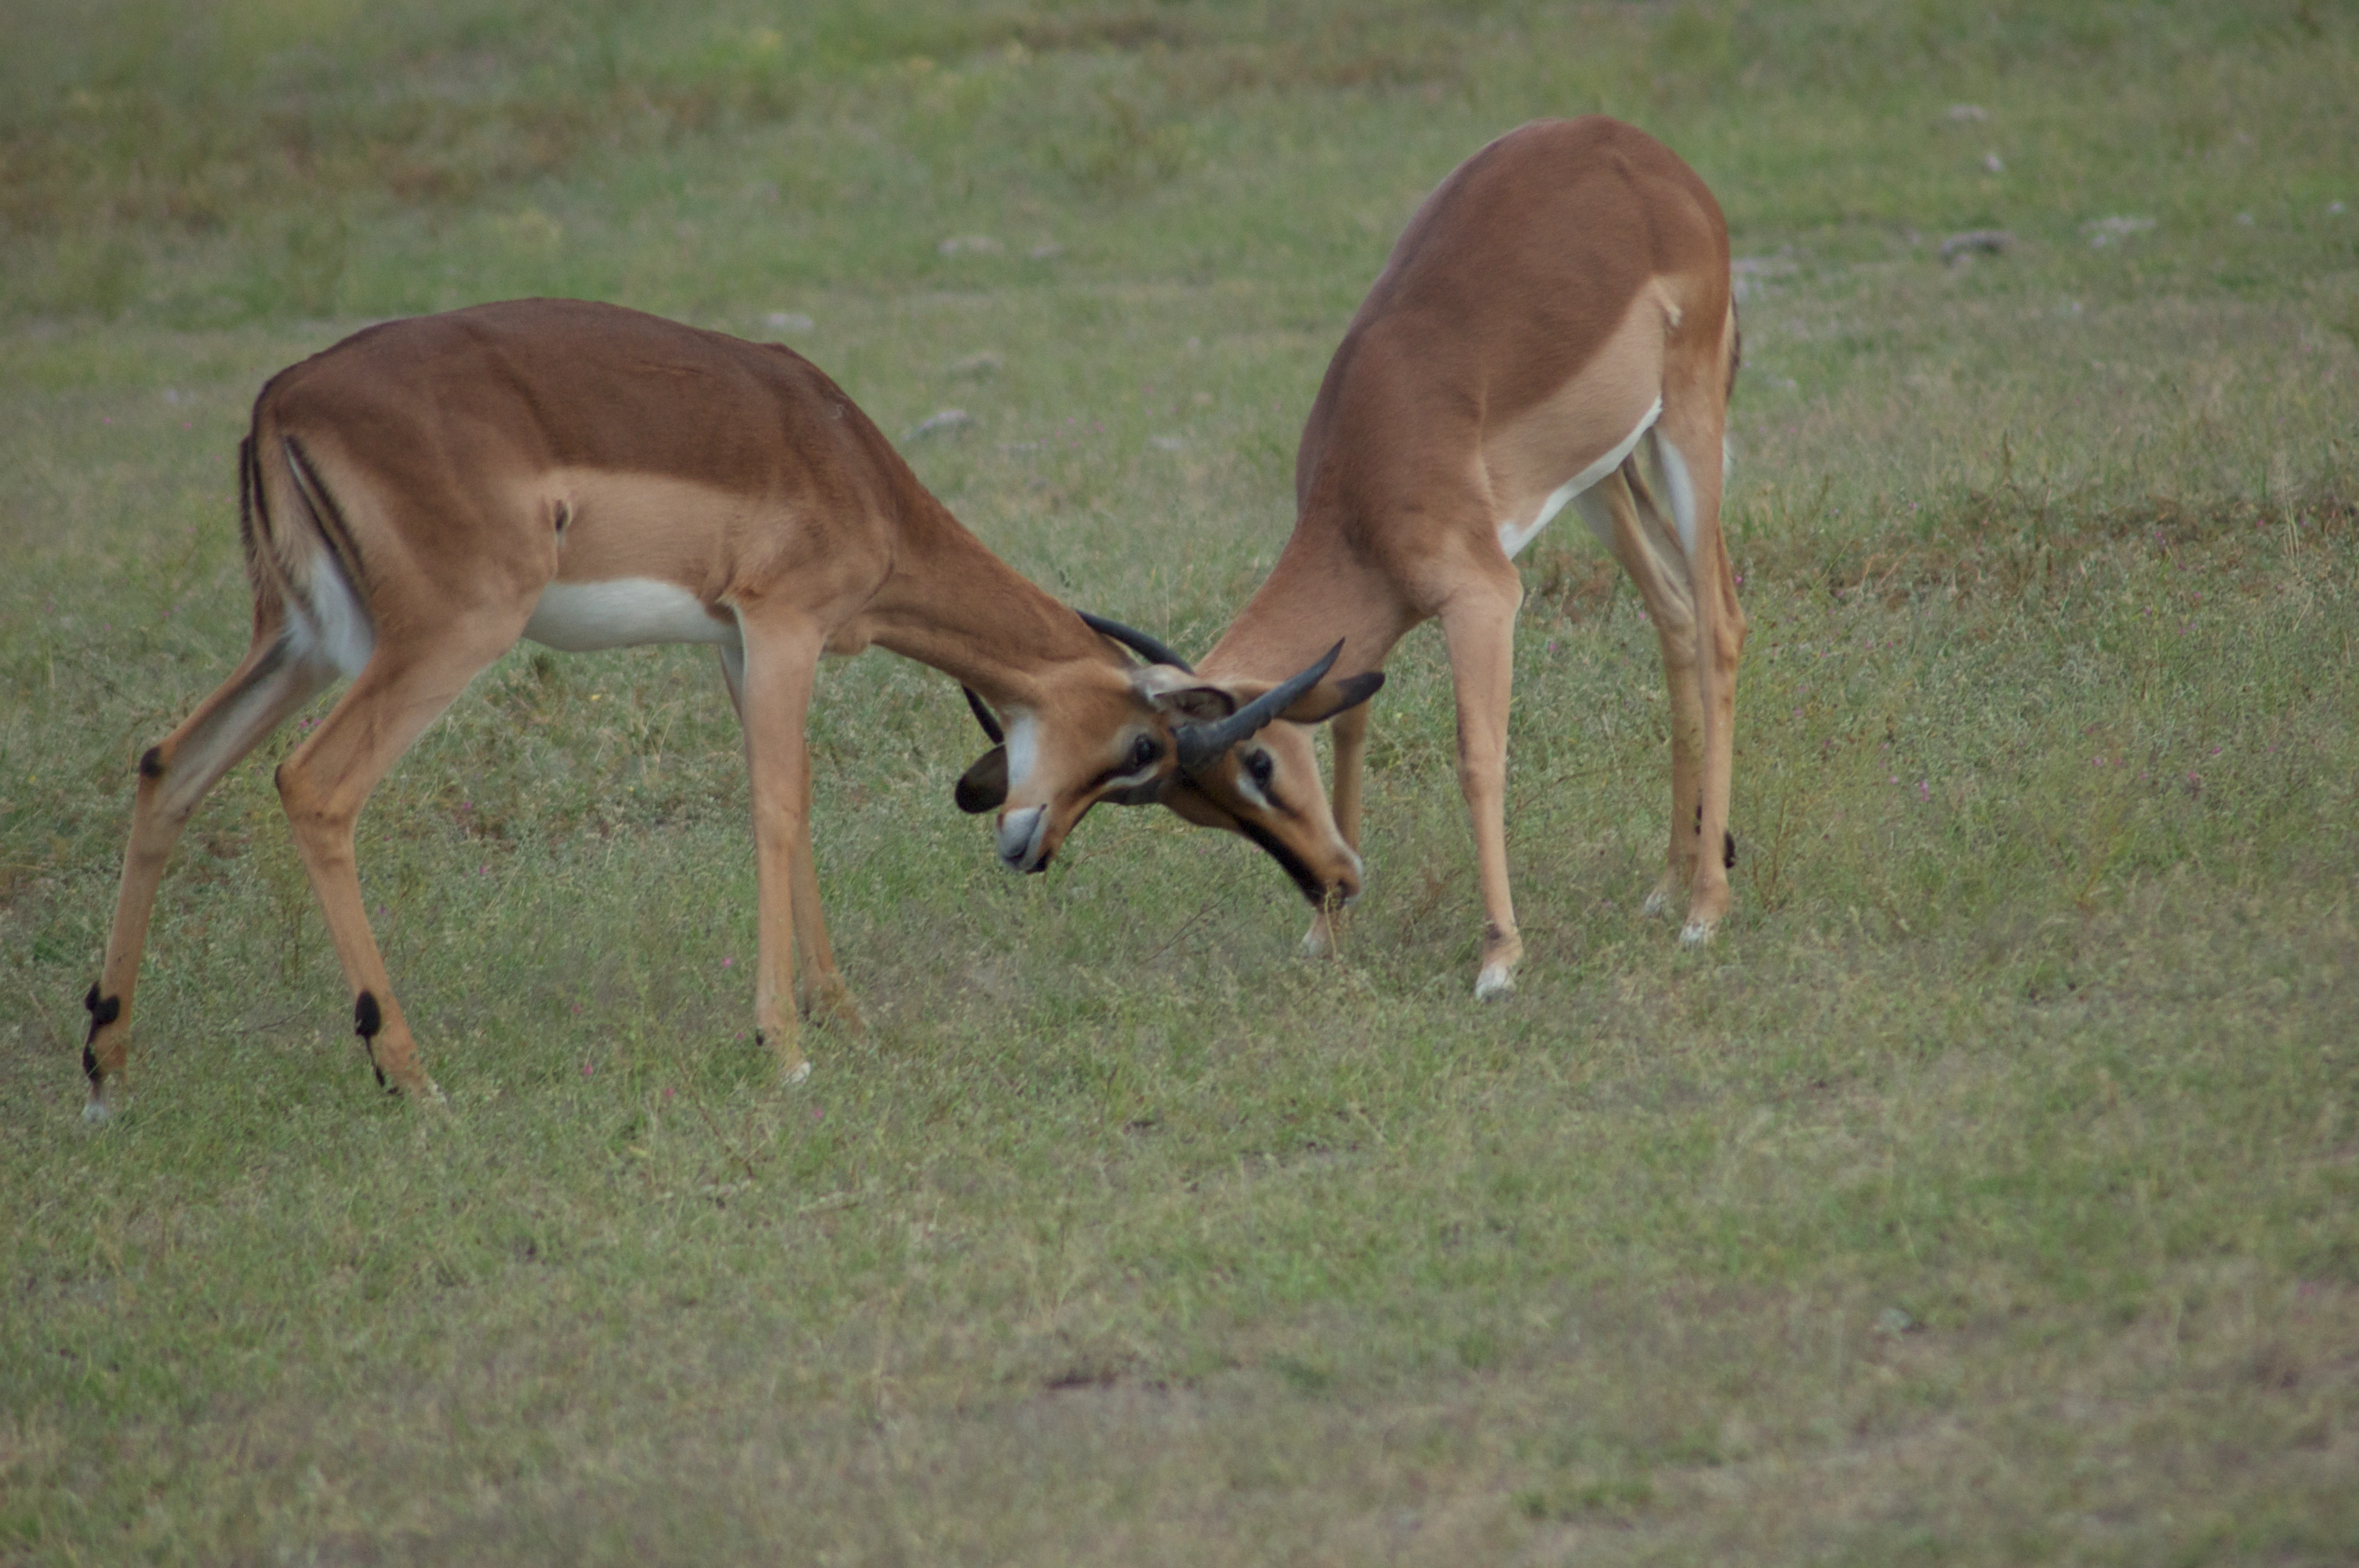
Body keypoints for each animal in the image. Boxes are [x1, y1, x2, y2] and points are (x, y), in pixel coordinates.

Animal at [79, 298, 1371, 1119]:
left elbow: (791, 818)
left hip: (298, 640)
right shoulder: (785, 624)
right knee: (314, 783)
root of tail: (280, 397)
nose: (1030, 850)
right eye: (1151, 749)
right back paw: (410, 1074)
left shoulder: (736, 646)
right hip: (442, 634)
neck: (849, 464)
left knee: (167, 764)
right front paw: (786, 1047)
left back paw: (107, 1071)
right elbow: (780, 807)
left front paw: (843, 1019)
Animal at [1110, 117, 1748, 999]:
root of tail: (1651, 157)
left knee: (1720, 622)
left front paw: (1499, 957)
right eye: (1197, 804)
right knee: (1676, 615)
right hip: (1604, 475)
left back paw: (1704, 911)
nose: (1332, 883)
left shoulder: (1483, 596)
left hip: (1687, 424)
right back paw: (1665, 883)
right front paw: (1324, 937)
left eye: (1259, 764)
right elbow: (1351, 728)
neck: (1365, 472)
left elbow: (1477, 758)